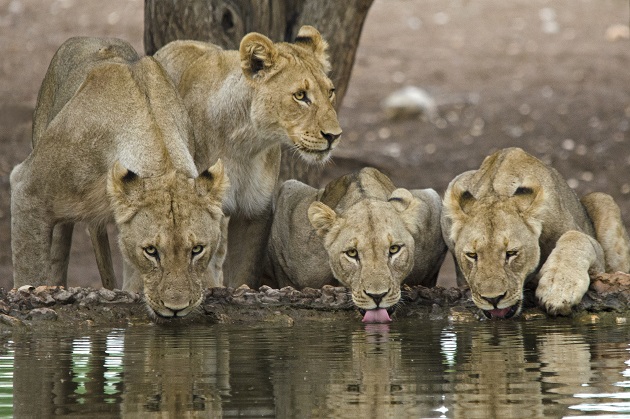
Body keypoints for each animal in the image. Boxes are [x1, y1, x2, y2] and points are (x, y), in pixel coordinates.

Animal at [154, 25, 344, 288]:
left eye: (330, 92)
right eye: (300, 95)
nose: (334, 136)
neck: (244, 145)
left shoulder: (255, 212)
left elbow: (244, 273)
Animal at [442, 148, 630, 318]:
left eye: (511, 253)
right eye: (472, 255)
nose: (493, 299)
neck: (497, 189)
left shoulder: (597, 259)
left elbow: (576, 237)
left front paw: (558, 288)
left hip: (603, 200)